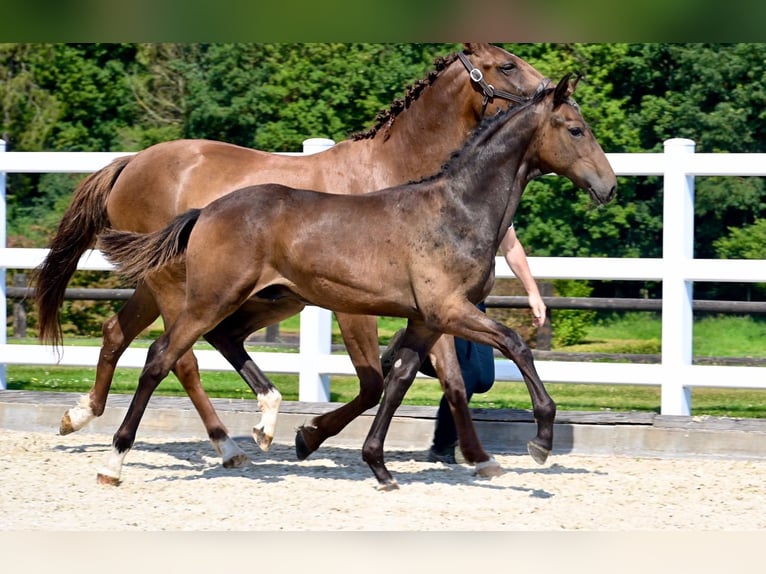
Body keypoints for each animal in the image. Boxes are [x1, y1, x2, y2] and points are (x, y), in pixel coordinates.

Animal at [36, 44, 548, 468]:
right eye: (506, 65)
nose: (549, 91)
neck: (397, 177)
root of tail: (130, 163)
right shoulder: (358, 306)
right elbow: (373, 382)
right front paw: (309, 436)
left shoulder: (429, 302)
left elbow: (450, 380)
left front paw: (480, 456)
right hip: (180, 289)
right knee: (179, 358)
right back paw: (228, 445)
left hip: (168, 285)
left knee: (117, 332)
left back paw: (81, 415)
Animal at [97, 74, 616, 490]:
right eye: (576, 129)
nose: (609, 187)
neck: (457, 209)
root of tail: (205, 210)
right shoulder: (449, 309)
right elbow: (515, 343)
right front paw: (542, 439)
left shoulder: (427, 320)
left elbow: (399, 379)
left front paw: (376, 465)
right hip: (211, 297)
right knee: (162, 358)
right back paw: (116, 462)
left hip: (269, 299)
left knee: (218, 339)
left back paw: (265, 424)